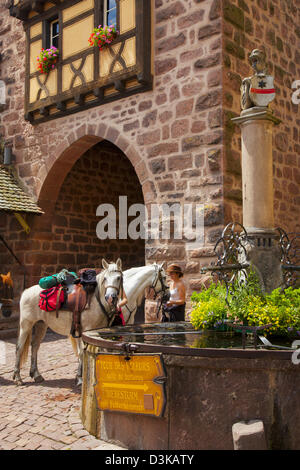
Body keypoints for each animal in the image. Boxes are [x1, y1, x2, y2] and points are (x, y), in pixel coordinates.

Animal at [12, 258, 123, 386]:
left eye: (118, 277)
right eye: (105, 278)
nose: (110, 297)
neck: (96, 300)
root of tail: (26, 291)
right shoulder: (84, 331)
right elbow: (81, 352)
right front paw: (80, 378)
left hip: (41, 325)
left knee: (35, 346)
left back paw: (36, 375)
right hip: (26, 324)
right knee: (19, 347)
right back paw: (18, 378)